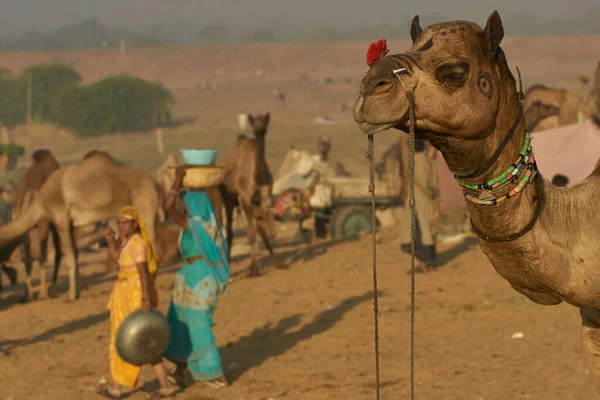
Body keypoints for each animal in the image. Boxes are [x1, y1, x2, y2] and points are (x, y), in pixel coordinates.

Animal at [0, 153, 161, 300]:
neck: (41, 202)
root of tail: (153, 182)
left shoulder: (61, 219)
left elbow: (69, 256)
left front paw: (71, 296)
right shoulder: (71, 224)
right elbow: (75, 255)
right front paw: (76, 291)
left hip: (145, 204)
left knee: (151, 244)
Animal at [220, 111, 284, 276]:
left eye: (265, 120)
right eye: (253, 121)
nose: (259, 128)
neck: (258, 177)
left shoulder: (265, 195)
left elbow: (263, 229)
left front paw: (278, 263)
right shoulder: (245, 197)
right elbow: (251, 234)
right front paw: (253, 270)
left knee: (257, 227)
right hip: (228, 196)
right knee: (229, 230)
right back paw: (228, 270)